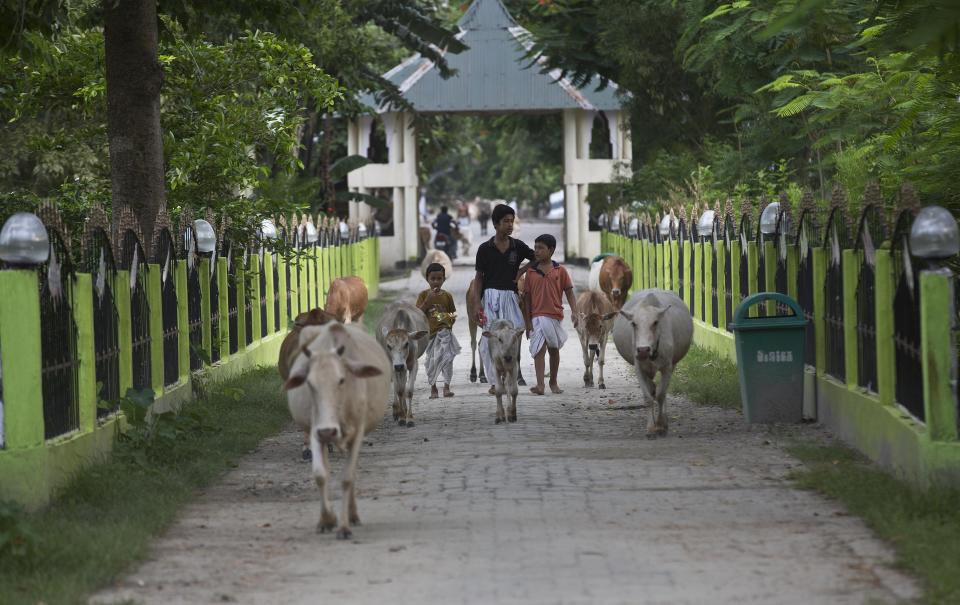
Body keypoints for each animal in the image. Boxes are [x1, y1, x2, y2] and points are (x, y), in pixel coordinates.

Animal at [284, 320, 390, 536]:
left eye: (341, 380)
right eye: (309, 383)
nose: (328, 431)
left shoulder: (358, 432)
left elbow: (347, 478)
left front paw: (344, 526)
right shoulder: (315, 430)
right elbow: (320, 474)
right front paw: (327, 519)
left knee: (352, 473)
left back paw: (353, 515)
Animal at [616, 290, 688, 436]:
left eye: (655, 322)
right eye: (633, 323)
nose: (643, 350)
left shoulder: (667, 367)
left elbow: (661, 395)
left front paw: (660, 425)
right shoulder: (638, 368)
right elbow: (648, 397)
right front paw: (650, 427)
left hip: (673, 364)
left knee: (662, 391)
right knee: (652, 388)